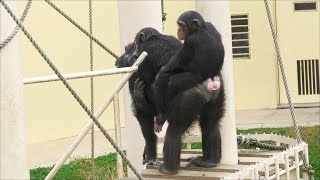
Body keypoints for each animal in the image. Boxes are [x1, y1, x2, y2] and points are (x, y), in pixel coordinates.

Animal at [151, 10, 226, 174]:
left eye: (181, 25)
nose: (178, 30)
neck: (201, 29)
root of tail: (211, 83)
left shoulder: (190, 42)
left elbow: (165, 70)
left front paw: (159, 118)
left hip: (191, 96)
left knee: (175, 129)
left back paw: (168, 168)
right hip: (217, 95)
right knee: (210, 124)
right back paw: (208, 162)